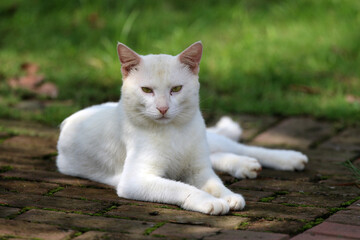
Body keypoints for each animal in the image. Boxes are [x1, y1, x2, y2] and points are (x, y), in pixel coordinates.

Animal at [56, 41, 306, 216]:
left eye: (176, 89)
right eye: (146, 90)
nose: (163, 108)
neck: (173, 132)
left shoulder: (199, 169)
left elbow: (215, 183)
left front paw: (228, 196)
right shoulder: (135, 180)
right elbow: (179, 187)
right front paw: (210, 201)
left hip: (207, 141)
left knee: (239, 148)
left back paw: (288, 158)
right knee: (219, 155)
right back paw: (245, 166)